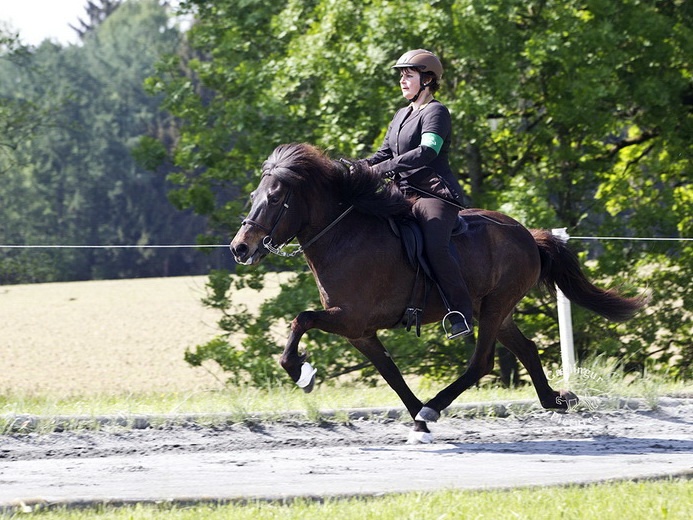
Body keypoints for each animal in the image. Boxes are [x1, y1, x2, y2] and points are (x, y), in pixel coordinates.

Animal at [231, 143, 644, 442]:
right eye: (253, 195)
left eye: (274, 198)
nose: (240, 248)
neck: (343, 236)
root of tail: (528, 235)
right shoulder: (359, 331)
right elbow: (391, 374)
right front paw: (417, 419)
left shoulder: (350, 318)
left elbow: (301, 320)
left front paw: (301, 372)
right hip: (495, 309)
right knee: (525, 349)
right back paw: (556, 399)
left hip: (493, 307)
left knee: (481, 363)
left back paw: (438, 406)